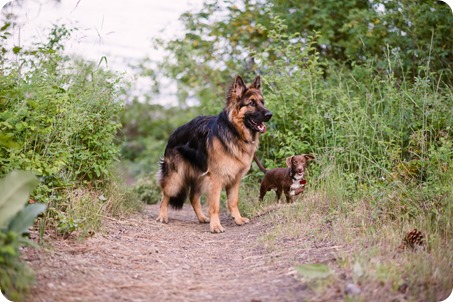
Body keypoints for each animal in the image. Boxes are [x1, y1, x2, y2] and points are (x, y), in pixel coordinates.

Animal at [157, 75, 270, 234]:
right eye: (252, 103)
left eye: (262, 102)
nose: (269, 114)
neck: (233, 131)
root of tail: (173, 134)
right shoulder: (216, 179)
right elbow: (215, 206)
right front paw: (216, 226)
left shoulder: (234, 179)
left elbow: (233, 201)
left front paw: (238, 219)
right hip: (176, 178)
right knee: (165, 196)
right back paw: (162, 216)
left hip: (200, 178)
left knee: (193, 197)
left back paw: (202, 217)